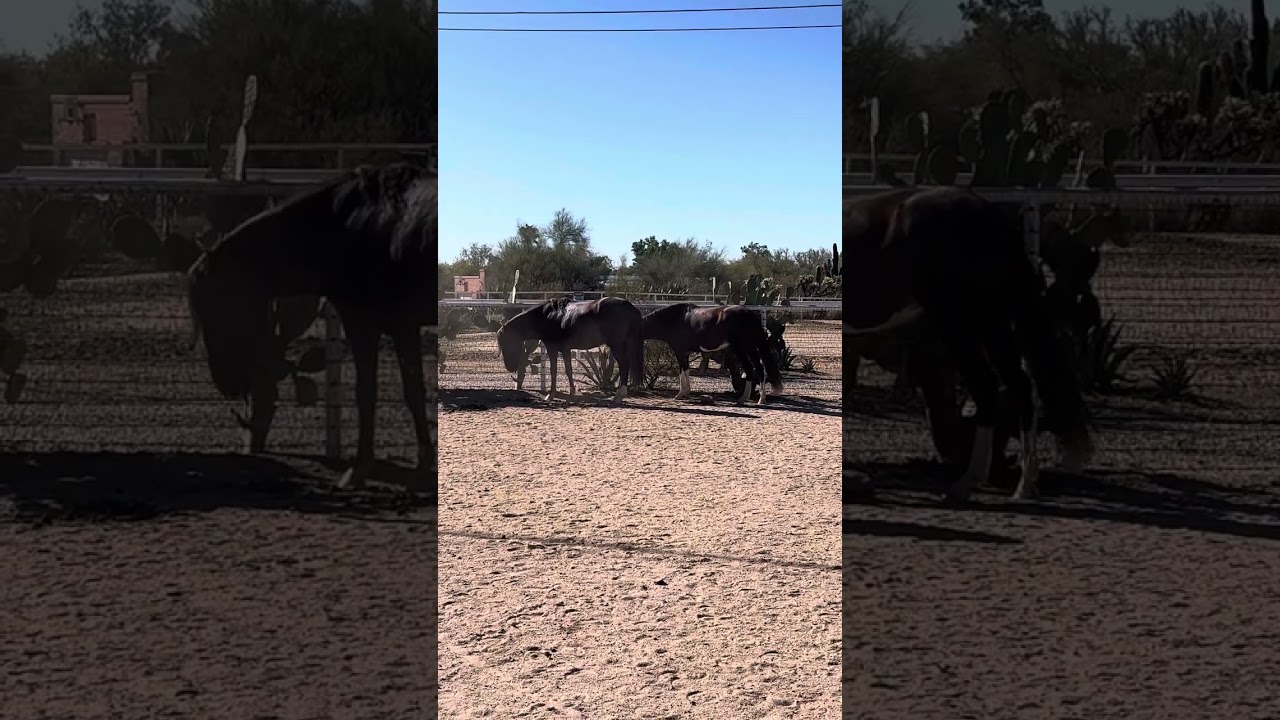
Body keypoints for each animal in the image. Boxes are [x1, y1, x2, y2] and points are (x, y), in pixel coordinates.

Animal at [187, 162, 437, 491]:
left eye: (217, 303)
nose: (226, 383)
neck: (351, 225)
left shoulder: (363, 324)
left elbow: (366, 393)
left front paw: (358, 470)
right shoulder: (403, 326)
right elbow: (414, 393)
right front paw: (423, 467)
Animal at [480, 296, 644, 404]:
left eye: (506, 342)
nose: (510, 367)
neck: (547, 317)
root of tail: (629, 306)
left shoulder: (552, 349)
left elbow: (553, 371)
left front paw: (551, 395)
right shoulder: (565, 349)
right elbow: (568, 370)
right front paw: (572, 392)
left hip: (617, 345)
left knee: (624, 364)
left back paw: (619, 395)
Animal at [641, 302, 783, 405]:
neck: (675, 319)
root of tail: (751, 315)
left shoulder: (680, 352)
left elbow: (682, 370)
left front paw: (680, 394)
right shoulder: (685, 353)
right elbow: (686, 370)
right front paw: (686, 392)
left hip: (741, 349)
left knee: (749, 369)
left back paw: (743, 399)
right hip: (751, 349)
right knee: (760, 369)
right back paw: (761, 399)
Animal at [844, 186, 1094, 503]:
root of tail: (989, 216)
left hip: (960, 325)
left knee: (987, 387)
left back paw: (966, 485)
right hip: (993, 327)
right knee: (1020, 387)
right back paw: (1024, 484)